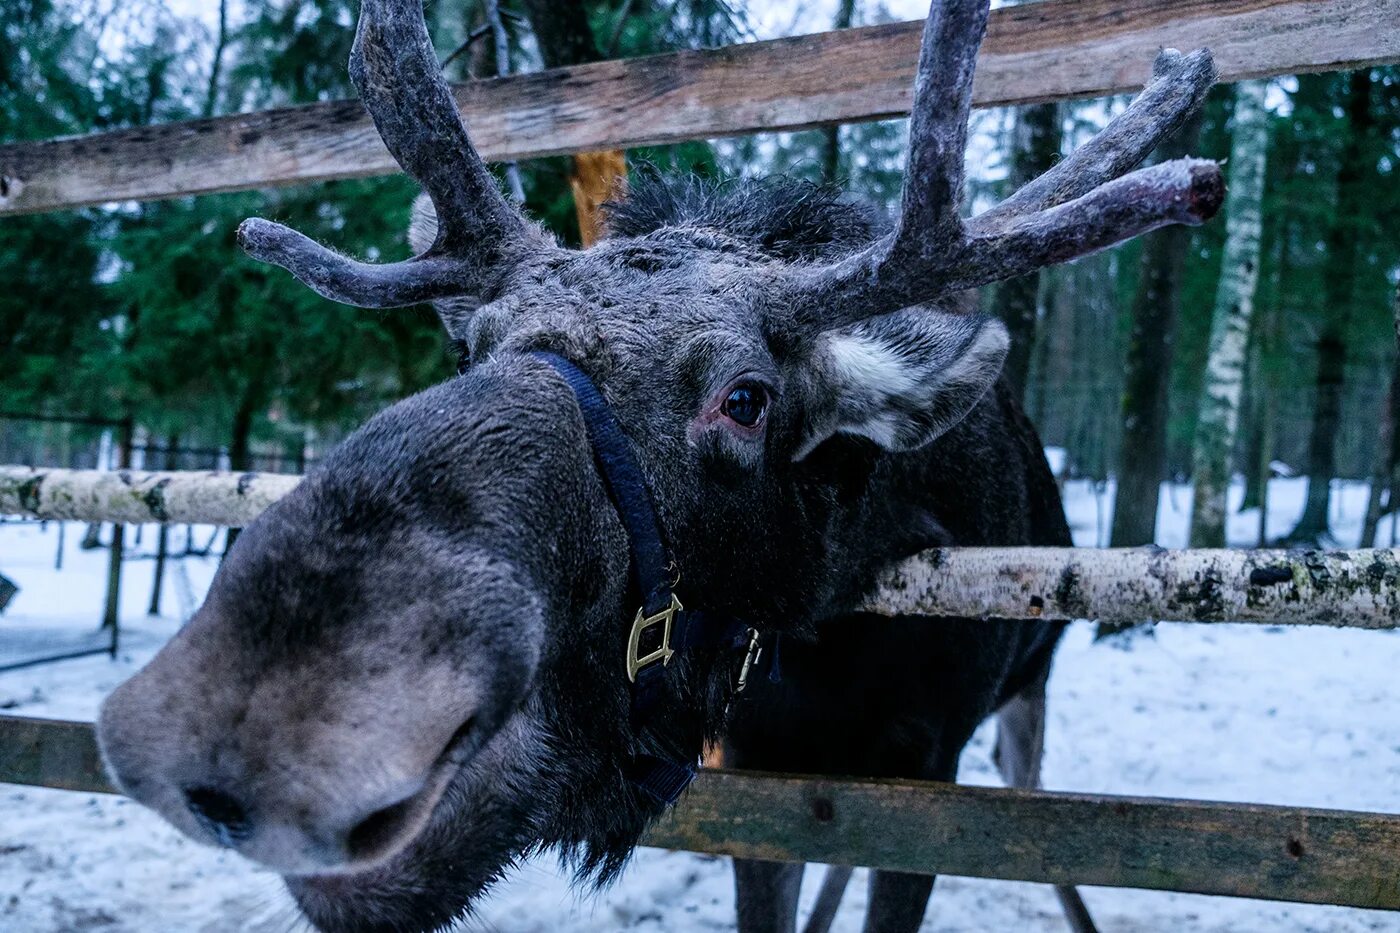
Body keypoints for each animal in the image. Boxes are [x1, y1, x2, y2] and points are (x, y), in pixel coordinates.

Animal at [98, 0, 1220, 924]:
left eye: (745, 398)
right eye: (469, 347)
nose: (258, 724)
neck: (832, 647)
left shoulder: (929, 769)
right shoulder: (772, 775)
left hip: (1026, 703)